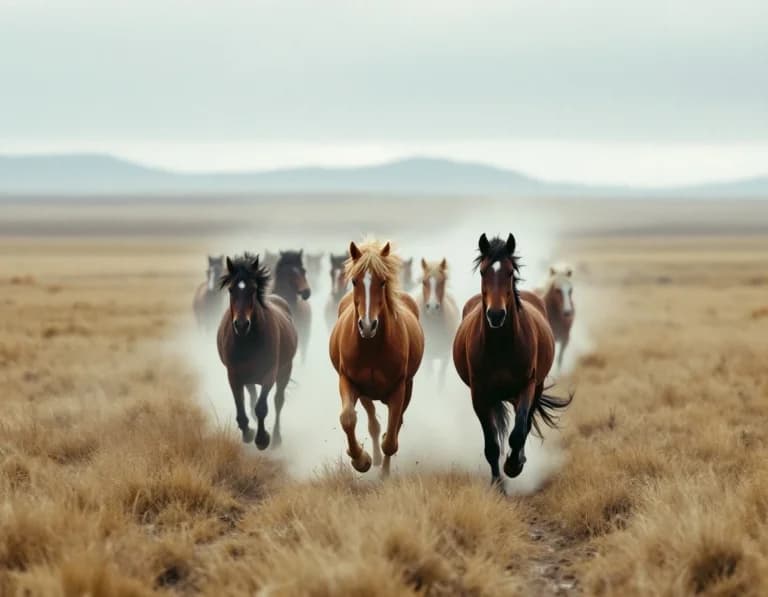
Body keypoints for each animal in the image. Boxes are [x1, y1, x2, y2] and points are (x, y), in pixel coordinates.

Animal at [217, 254, 298, 449]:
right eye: (231, 290)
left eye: (253, 289)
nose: (241, 324)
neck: (247, 341)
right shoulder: (234, 374)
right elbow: (240, 407)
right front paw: (248, 432)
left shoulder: (270, 373)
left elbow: (262, 407)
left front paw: (262, 439)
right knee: (252, 394)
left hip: (285, 370)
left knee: (278, 401)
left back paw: (276, 437)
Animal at [329, 240, 424, 476]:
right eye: (354, 281)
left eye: (382, 282)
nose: (367, 325)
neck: (371, 349)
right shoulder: (348, 380)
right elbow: (348, 419)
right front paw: (361, 460)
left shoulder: (399, 388)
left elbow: (391, 438)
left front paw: (384, 475)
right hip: (365, 393)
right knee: (372, 422)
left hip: (406, 387)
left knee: (394, 425)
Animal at [417, 258, 460, 387]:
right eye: (424, 282)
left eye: (442, 282)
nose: (432, 307)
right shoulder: (427, 357)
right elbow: (429, 377)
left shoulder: (445, 357)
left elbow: (440, 380)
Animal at [453, 234, 572, 487]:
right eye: (483, 271)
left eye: (509, 272)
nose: (496, 315)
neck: (501, 347)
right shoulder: (480, 395)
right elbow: (491, 445)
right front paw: (498, 484)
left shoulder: (526, 386)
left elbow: (518, 432)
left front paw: (513, 465)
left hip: (534, 388)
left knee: (524, 424)